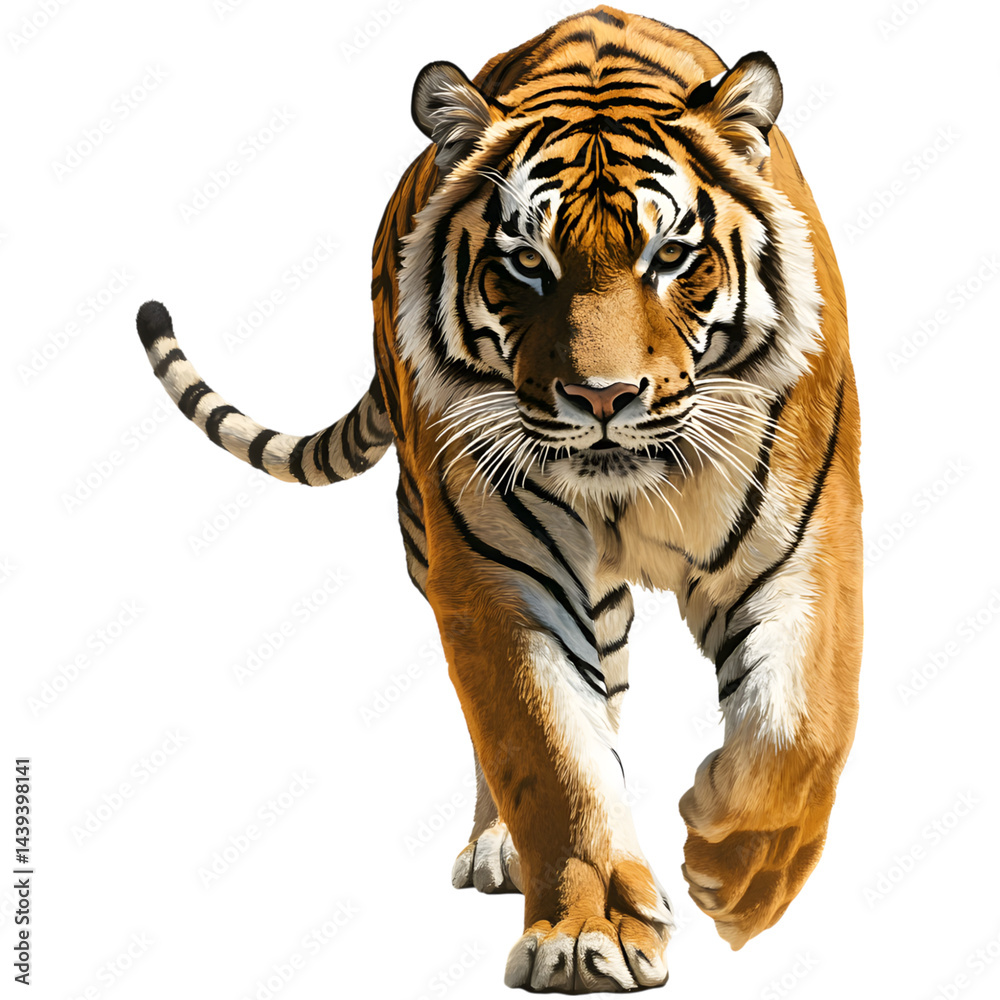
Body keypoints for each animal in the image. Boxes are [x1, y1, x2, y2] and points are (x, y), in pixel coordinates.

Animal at [135, 5, 861, 993]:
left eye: (671, 256)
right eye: (526, 263)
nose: (604, 397)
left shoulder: (802, 546)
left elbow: (801, 726)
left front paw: (734, 870)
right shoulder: (501, 577)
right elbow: (549, 754)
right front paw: (588, 937)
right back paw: (502, 848)